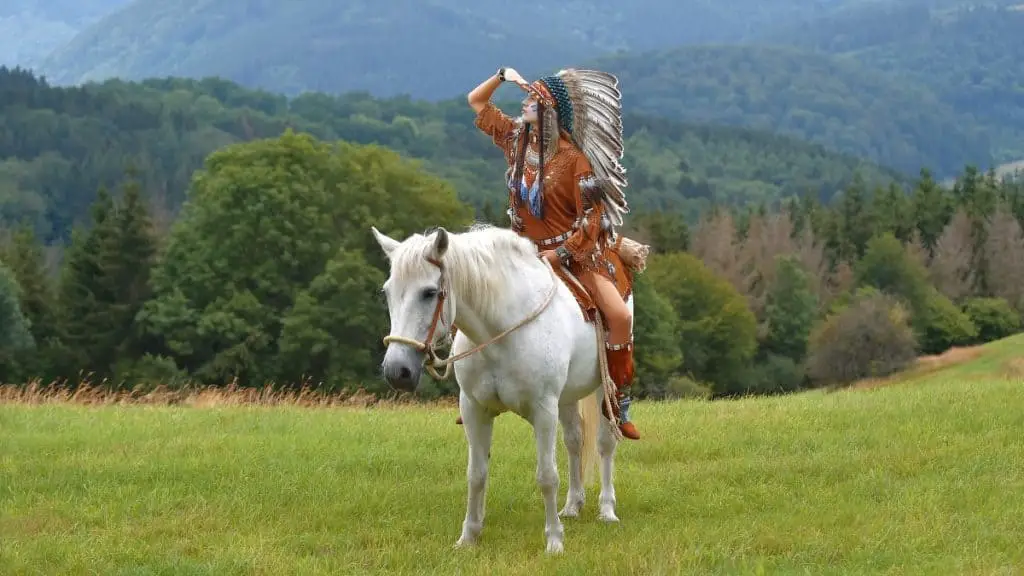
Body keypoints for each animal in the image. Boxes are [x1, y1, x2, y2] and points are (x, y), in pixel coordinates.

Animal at [368, 223, 622, 553]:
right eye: (387, 292)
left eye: (429, 293)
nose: (396, 371)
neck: (500, 335)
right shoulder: (474, 409)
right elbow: (476, 474)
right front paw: (469, 536)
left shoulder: (544, 410)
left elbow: (547, 476)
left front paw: (554, 540)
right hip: (567, 398)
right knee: (574, 441)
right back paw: (572, 506)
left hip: (604, 388)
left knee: (605, 443)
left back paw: (607, 509)